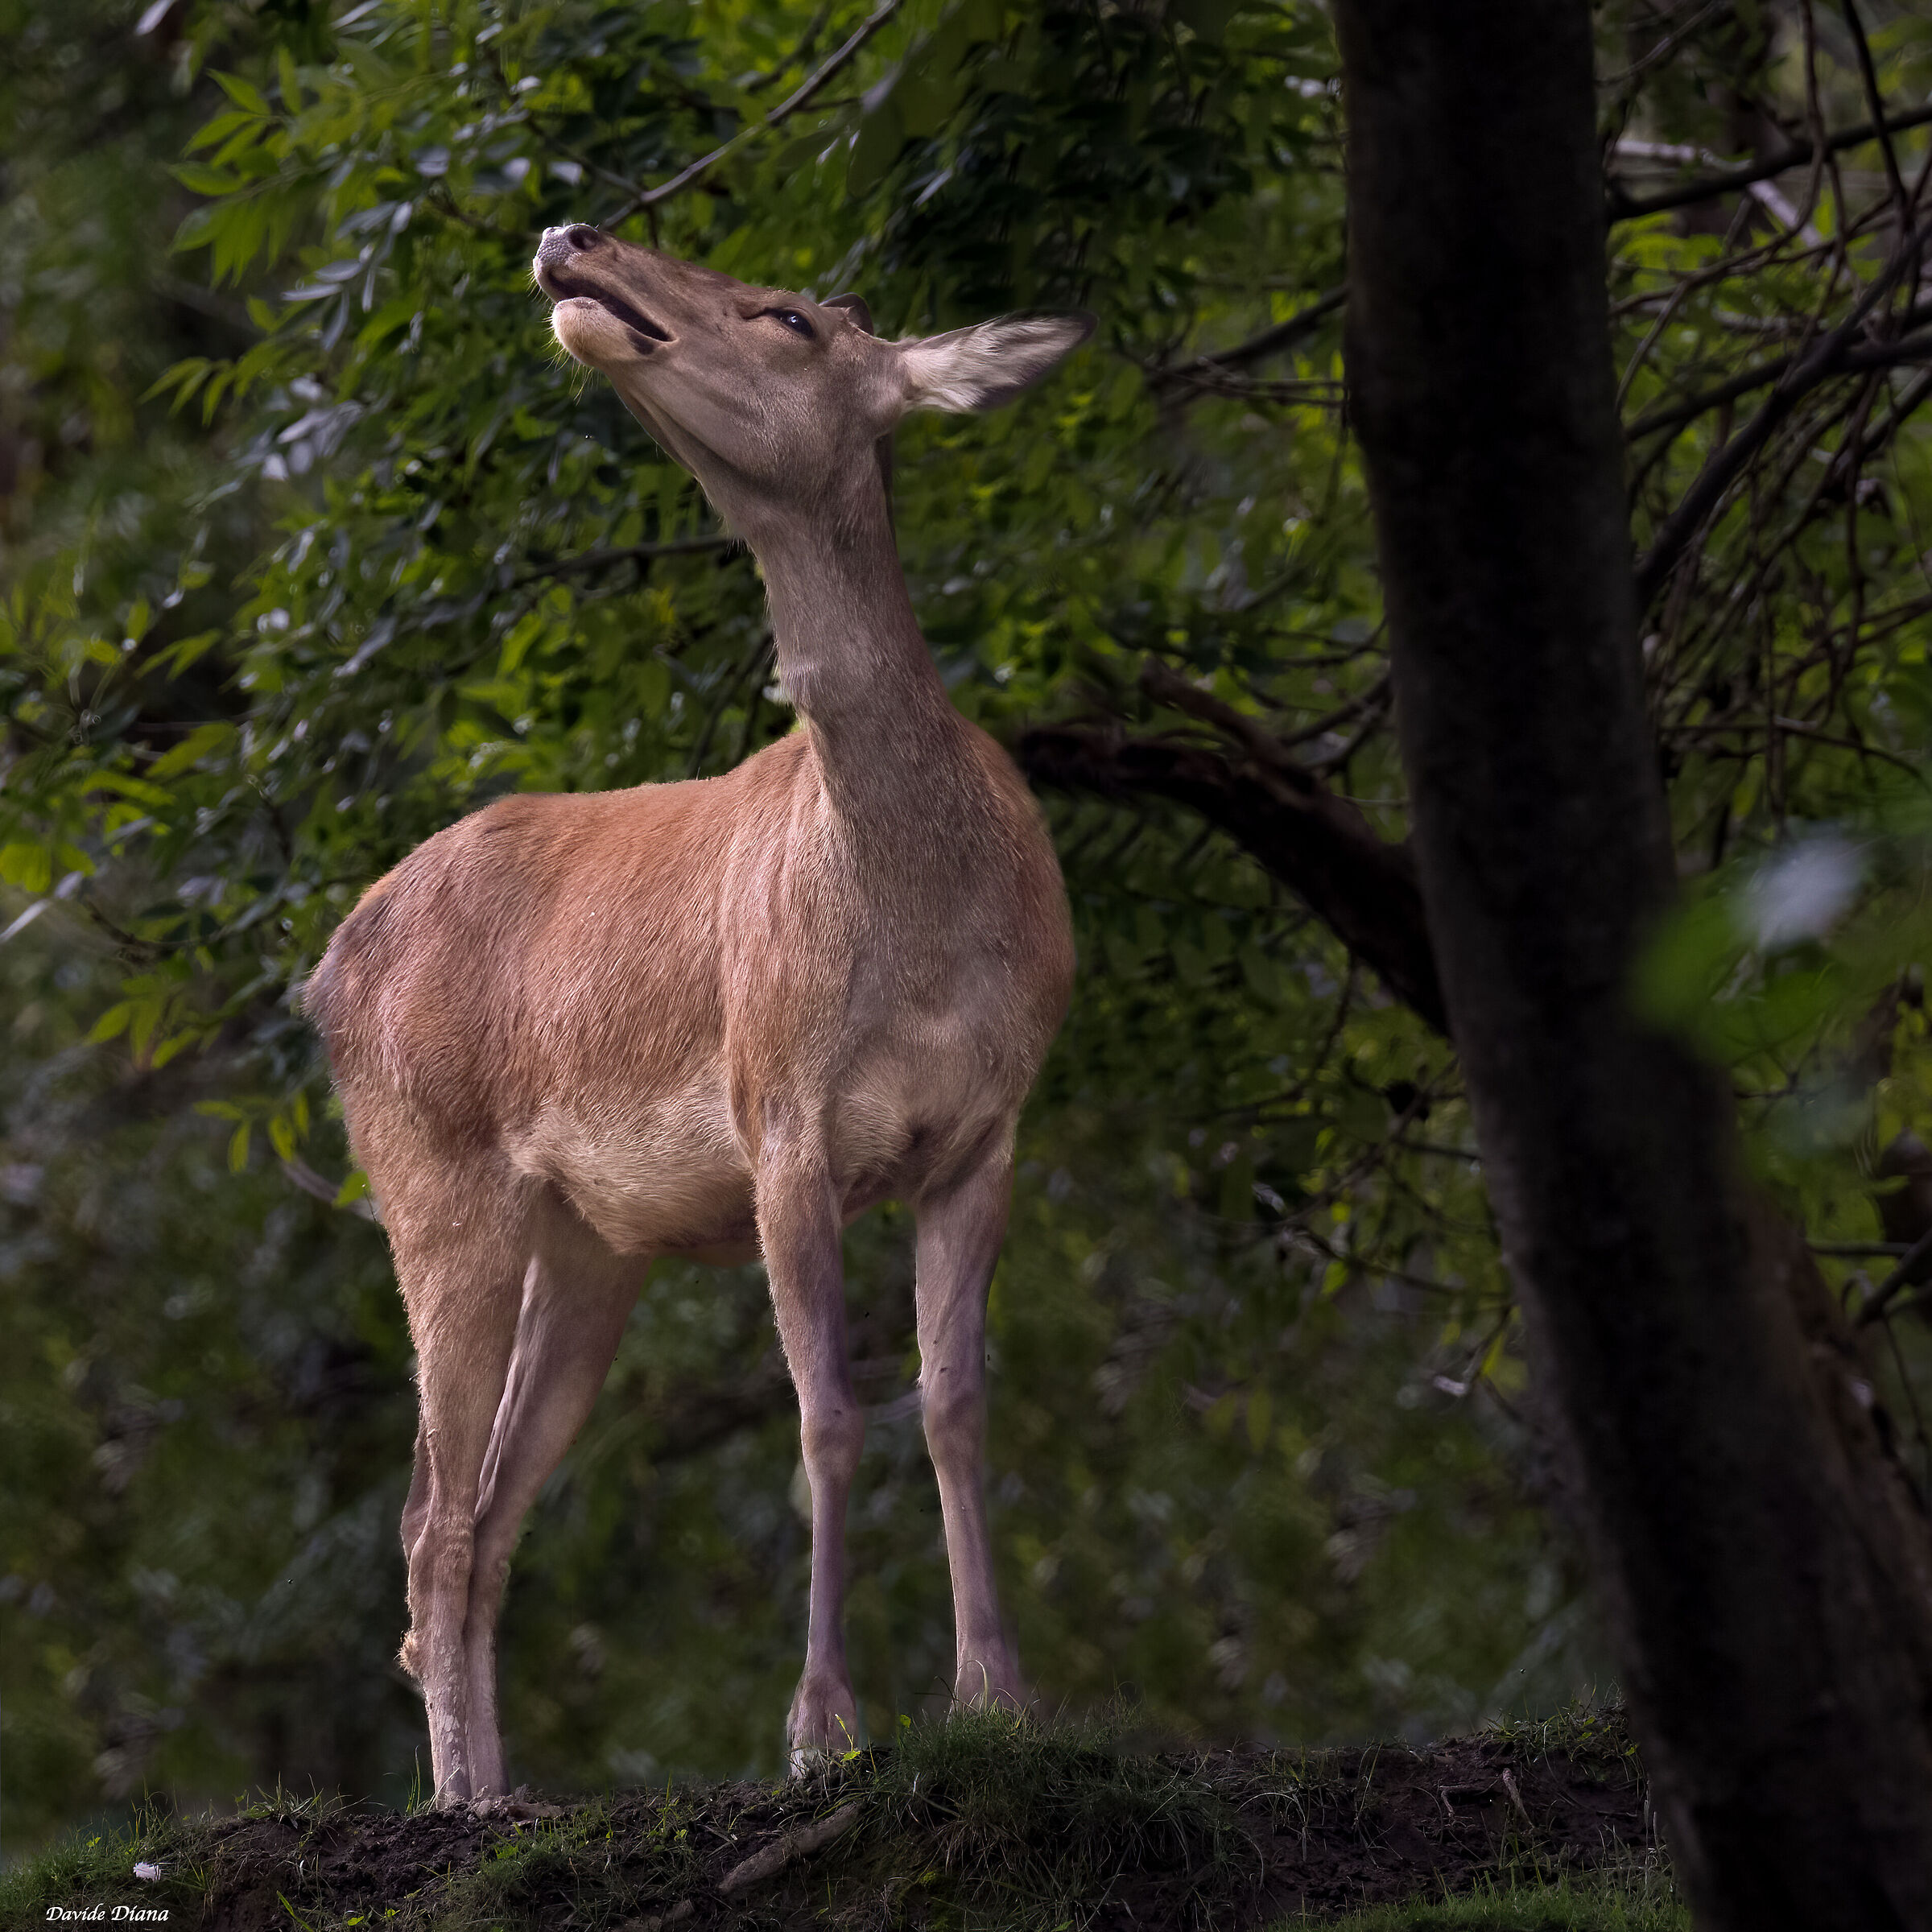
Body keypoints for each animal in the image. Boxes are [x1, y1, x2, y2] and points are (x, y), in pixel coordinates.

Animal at [303, 221, 1093, 1804]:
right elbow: (828, 1417)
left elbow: (957, 1406)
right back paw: (463, 1803)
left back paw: (501, 1790)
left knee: (486, 1511)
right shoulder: (782, 1118)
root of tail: (321, 973)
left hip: (589, 1249)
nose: (575, 233)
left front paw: (998, 1699)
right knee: (430, 1520)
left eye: (792, 317)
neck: (924, 928)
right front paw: (822, 1727)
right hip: (432, 1186)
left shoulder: (987, 1133)